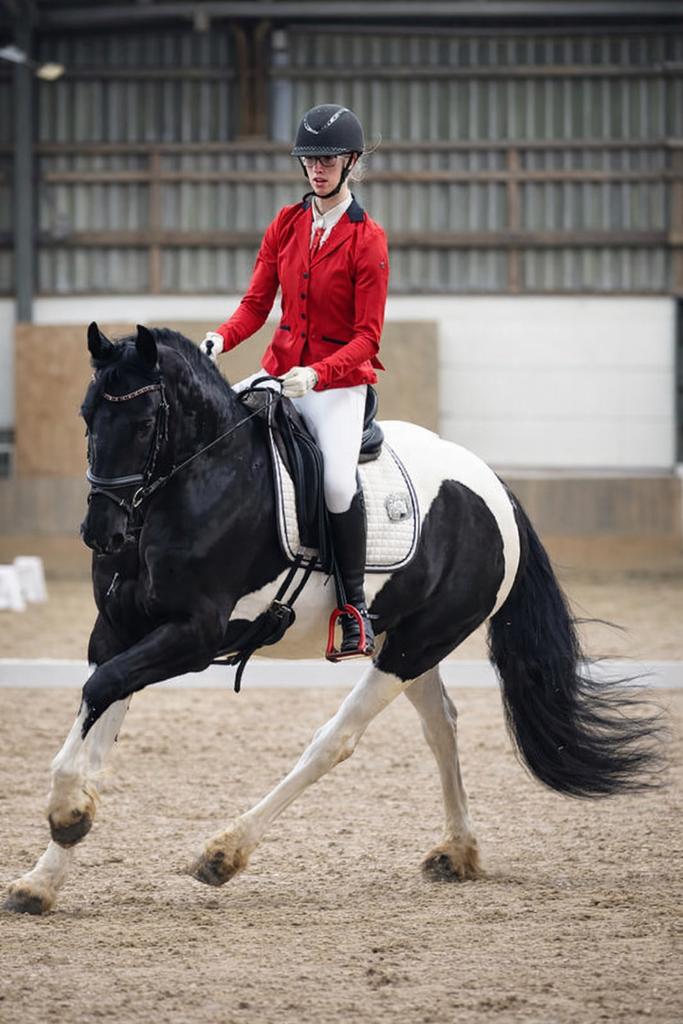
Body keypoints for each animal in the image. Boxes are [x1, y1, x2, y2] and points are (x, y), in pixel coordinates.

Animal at [4, 323, 663, 915]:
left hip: (416, 644)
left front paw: (67, 815)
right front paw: (43, 876)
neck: (199, 481)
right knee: (441, 726)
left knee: (335, 740)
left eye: (143, 425)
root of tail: (493, 484)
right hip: (404, 639)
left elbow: (101, 691)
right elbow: (99, 711)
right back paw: (457, 851)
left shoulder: (193, 636)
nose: (101, 533)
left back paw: (223, 853)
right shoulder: (118, 631)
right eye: (86, 416)